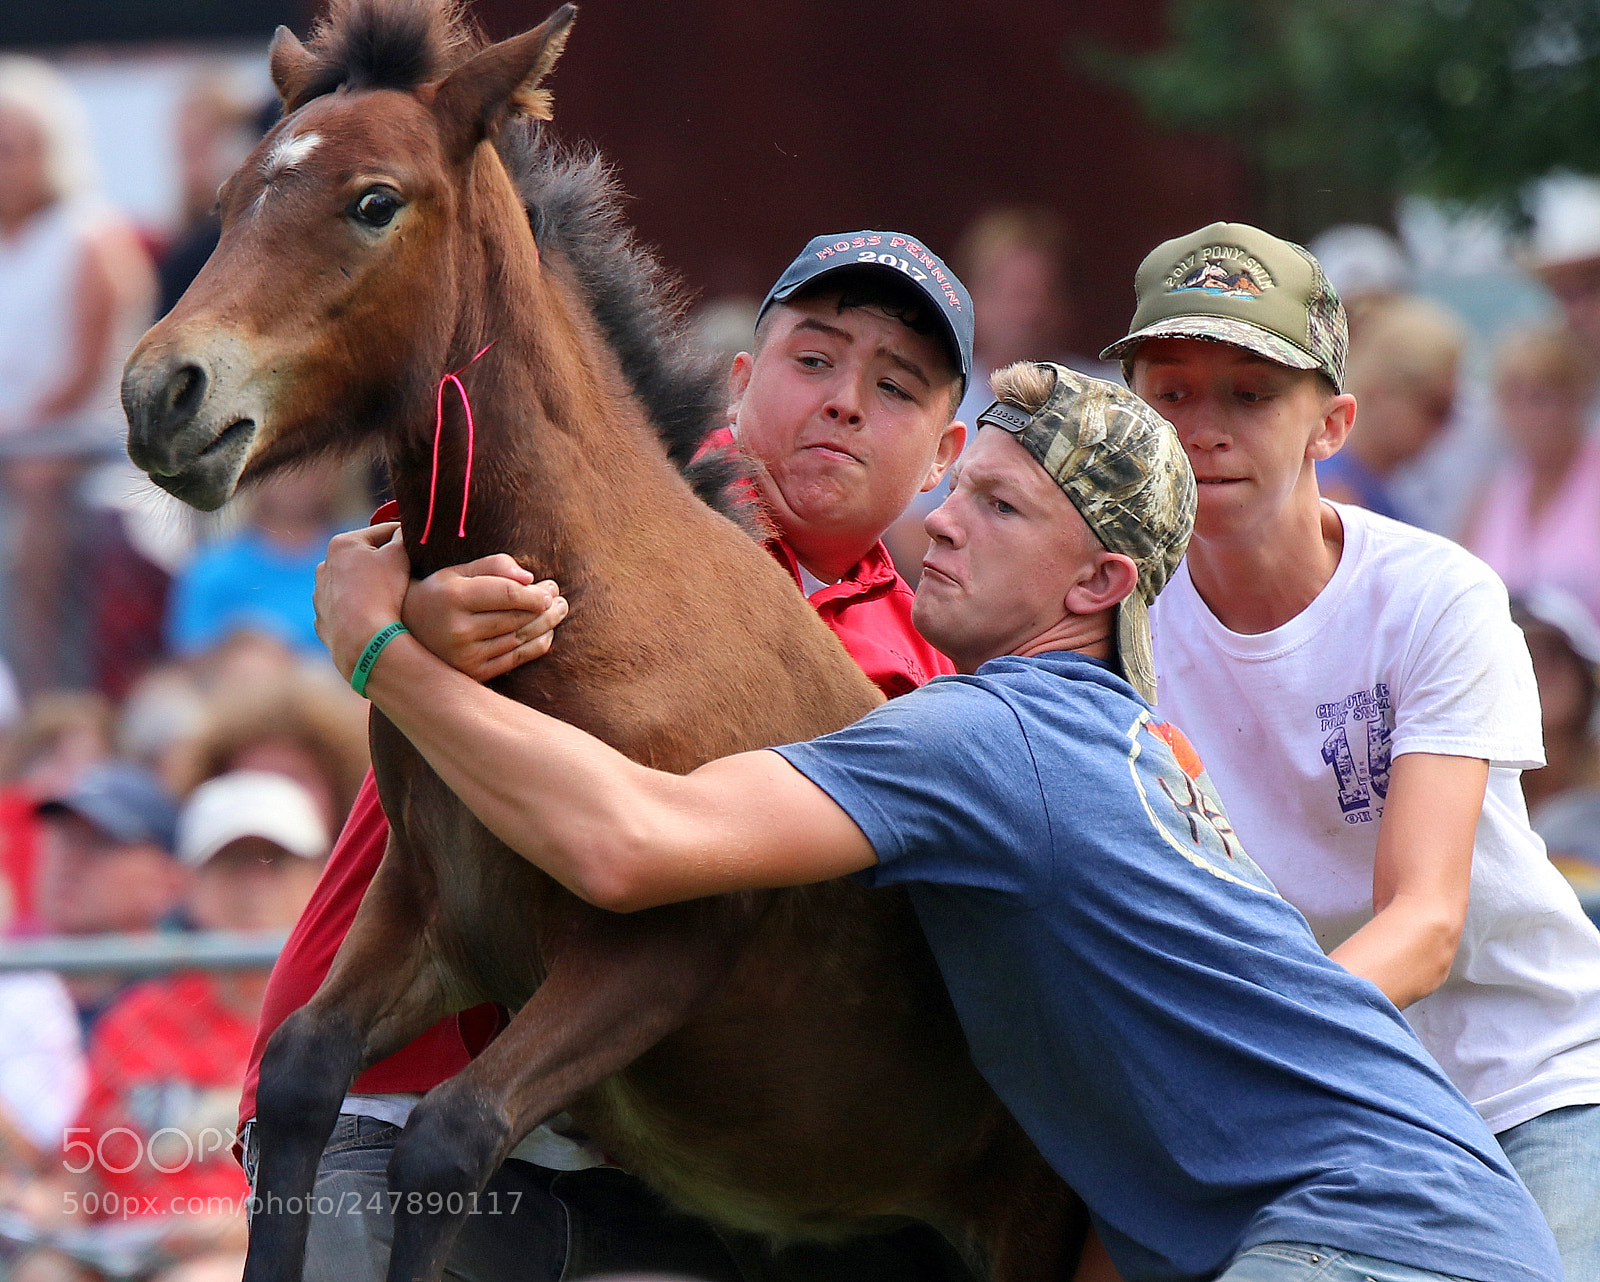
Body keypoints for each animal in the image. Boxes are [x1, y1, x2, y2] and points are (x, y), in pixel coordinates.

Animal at [121, 4, 1083, 1281]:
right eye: (229, 197)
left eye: (373, 201)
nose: (160, 393)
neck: (590, 606)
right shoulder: (433, 909)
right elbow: (299, 1074)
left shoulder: (657, 948)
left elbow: (449, 1133)